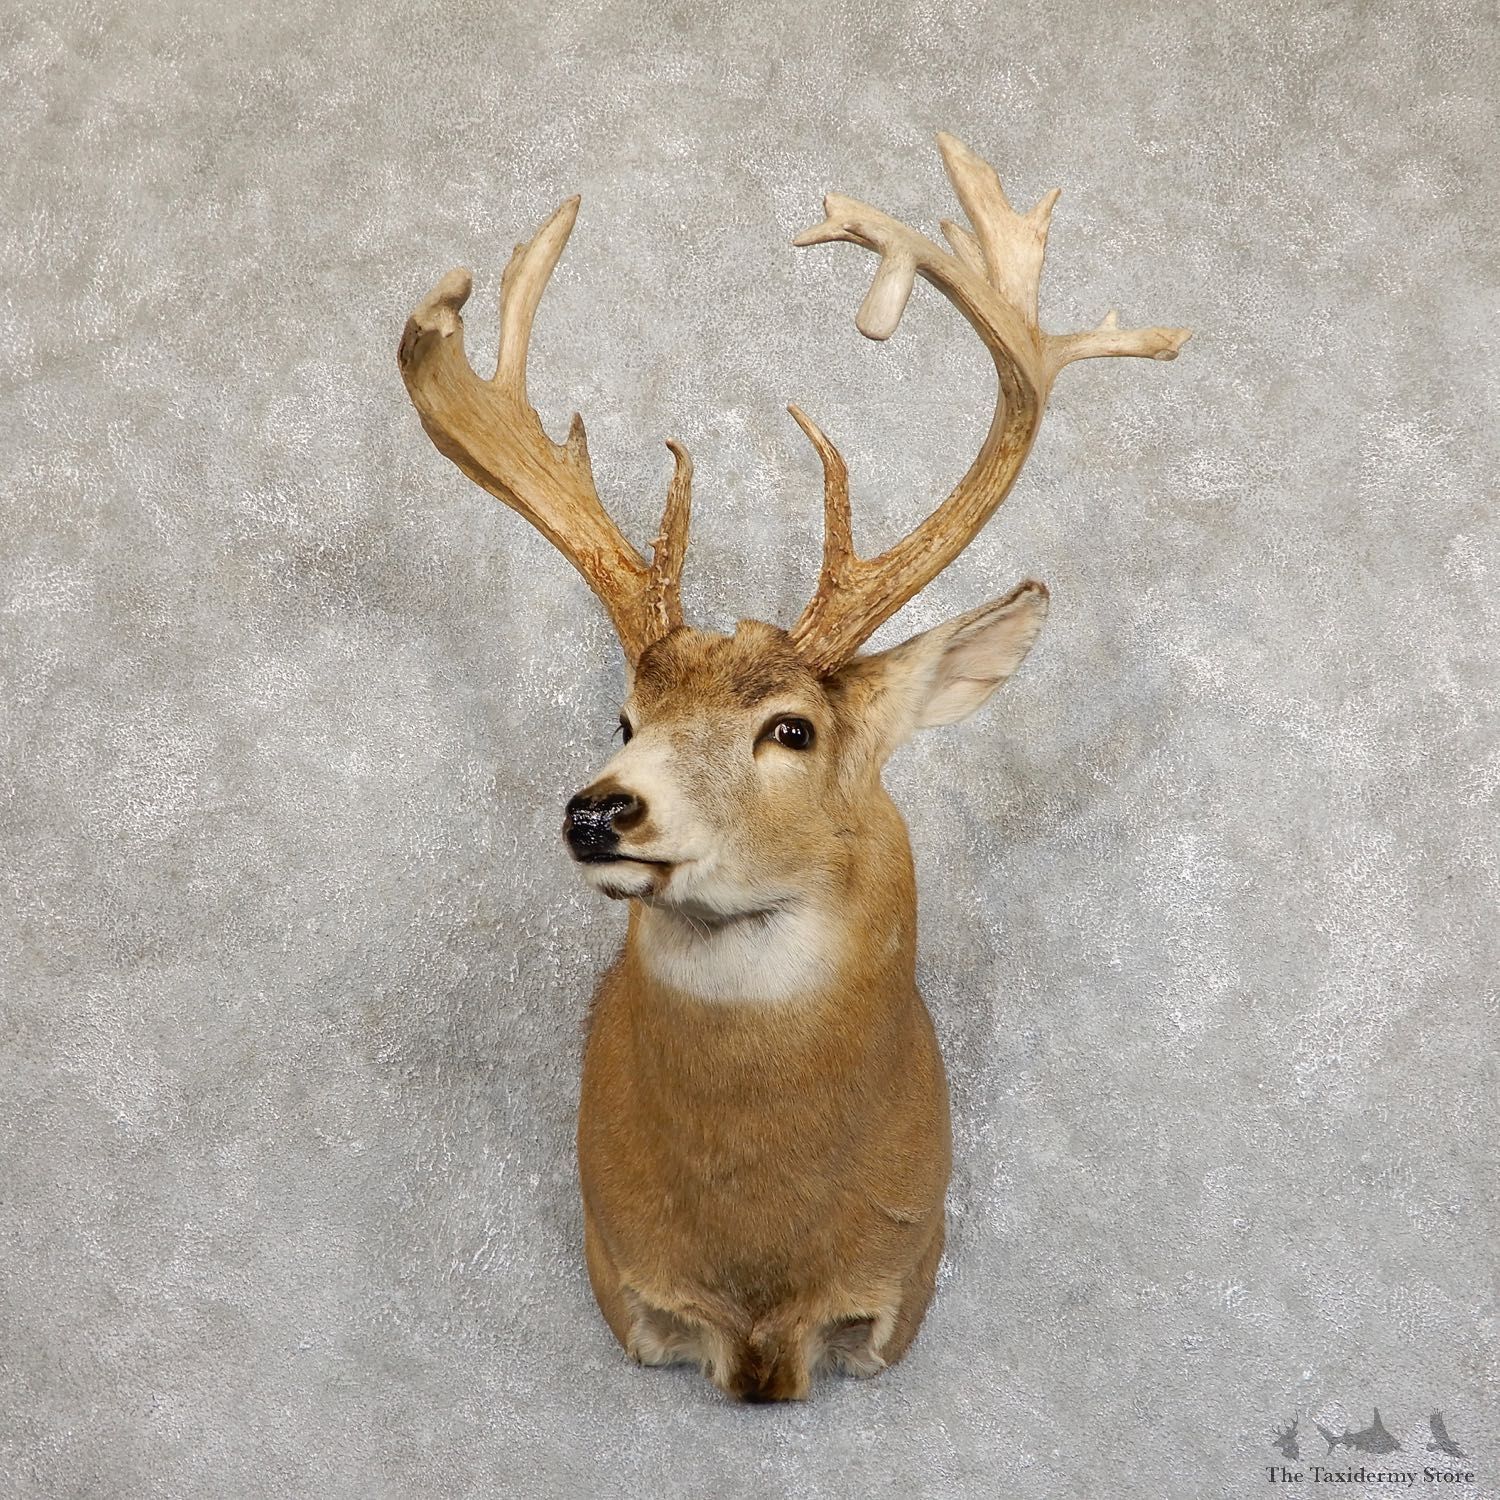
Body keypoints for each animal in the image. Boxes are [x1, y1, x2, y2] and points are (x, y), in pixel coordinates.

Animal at [397, 133, 1189, 1402]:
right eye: (625, 716)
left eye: (791, 730)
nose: (599, 810)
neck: (764, 1277)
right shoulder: (631, 1285)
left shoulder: (891, 1291)